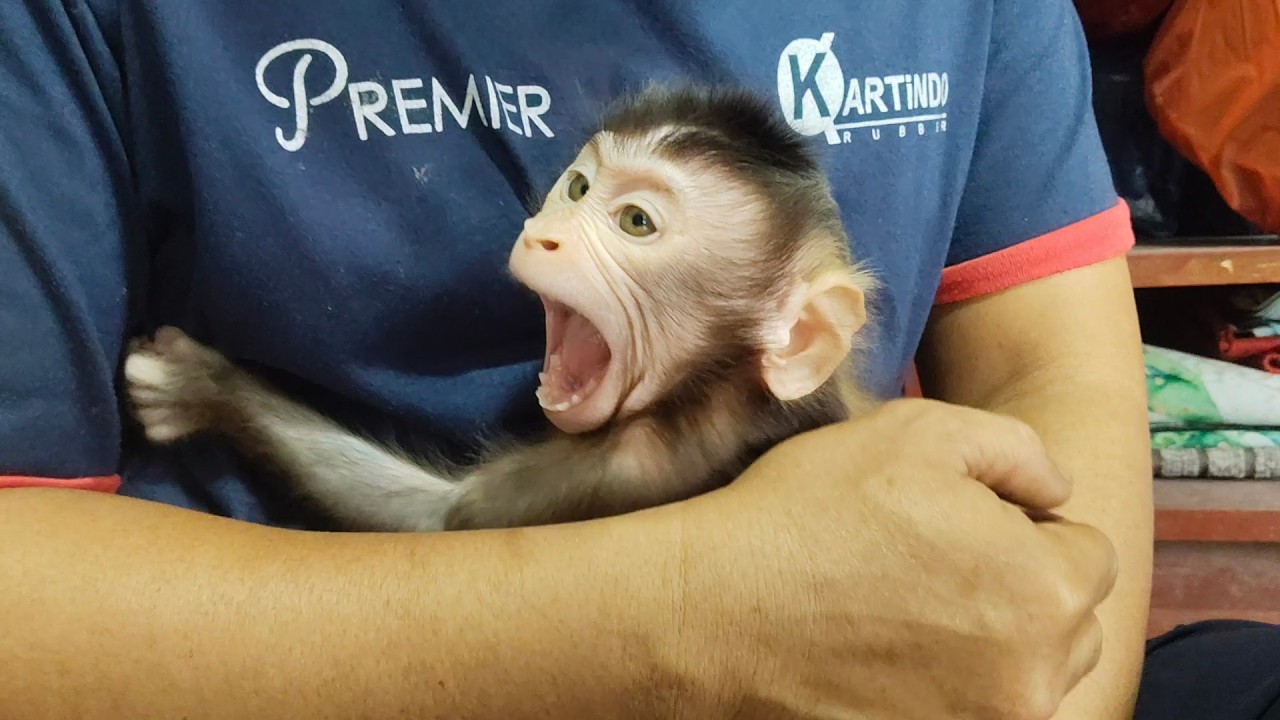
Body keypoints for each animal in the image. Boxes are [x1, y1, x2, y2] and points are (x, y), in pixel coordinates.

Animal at [122, 84, 881, 533]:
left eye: (636, 222)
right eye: (578, 188)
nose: (545, 233)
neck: (727, 386)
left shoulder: (635, 463)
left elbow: (440, 515)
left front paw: (202, 388)